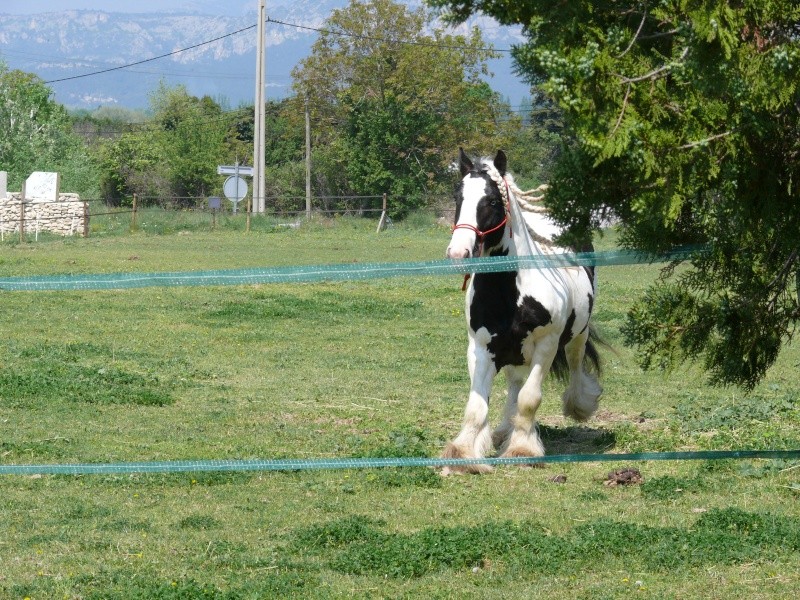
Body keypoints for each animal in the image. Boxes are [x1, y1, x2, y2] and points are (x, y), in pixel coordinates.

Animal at [444, 149, 600, 474]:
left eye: (492, 200)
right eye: (458, 196)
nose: (458, 252)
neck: (510, 293)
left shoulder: (546, 345)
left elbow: (530, 399)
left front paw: (522, 450)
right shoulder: (480, 347)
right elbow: (477, 404)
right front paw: (465, 454)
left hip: (577, 336)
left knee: (575, 367)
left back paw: (579, 406)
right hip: (512, 352)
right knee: (515, 383)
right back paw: (505, 430)